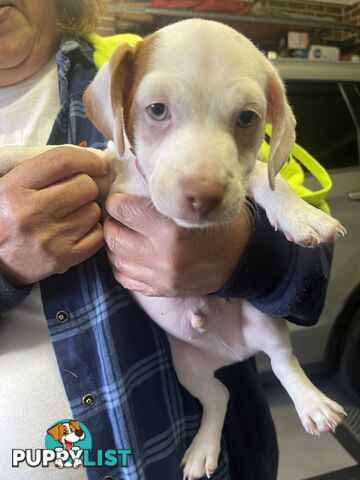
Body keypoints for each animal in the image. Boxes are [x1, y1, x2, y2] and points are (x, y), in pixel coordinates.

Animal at [1, 20, 348, 480]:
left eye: (247, 118)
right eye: (157, 110)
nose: (203, 196)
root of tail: (231, 352)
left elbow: (260, 173)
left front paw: (301, 214)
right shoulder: (103, 166)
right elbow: (60, 151)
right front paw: (9, 154)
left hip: (264, 322)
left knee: (282, 363)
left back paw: (313, 405)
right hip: (188, 368)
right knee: (218, 396)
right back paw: (204, 448)